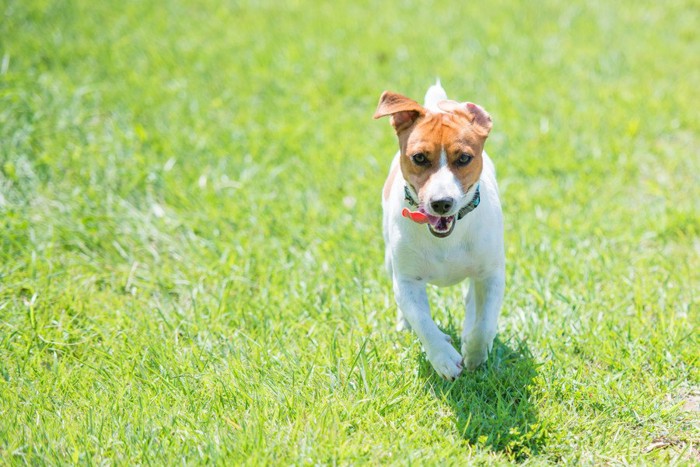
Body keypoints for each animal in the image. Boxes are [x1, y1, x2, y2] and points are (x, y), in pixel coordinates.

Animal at [374, 80, 506, 380]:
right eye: (419, 157)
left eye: (465, 158)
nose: (441, 203)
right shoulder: (407, 280)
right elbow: (422, 320)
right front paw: (443, 357)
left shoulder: (492, 274)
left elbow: (485, 322)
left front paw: (475, 352)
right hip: (388, 260)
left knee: (473, 301)